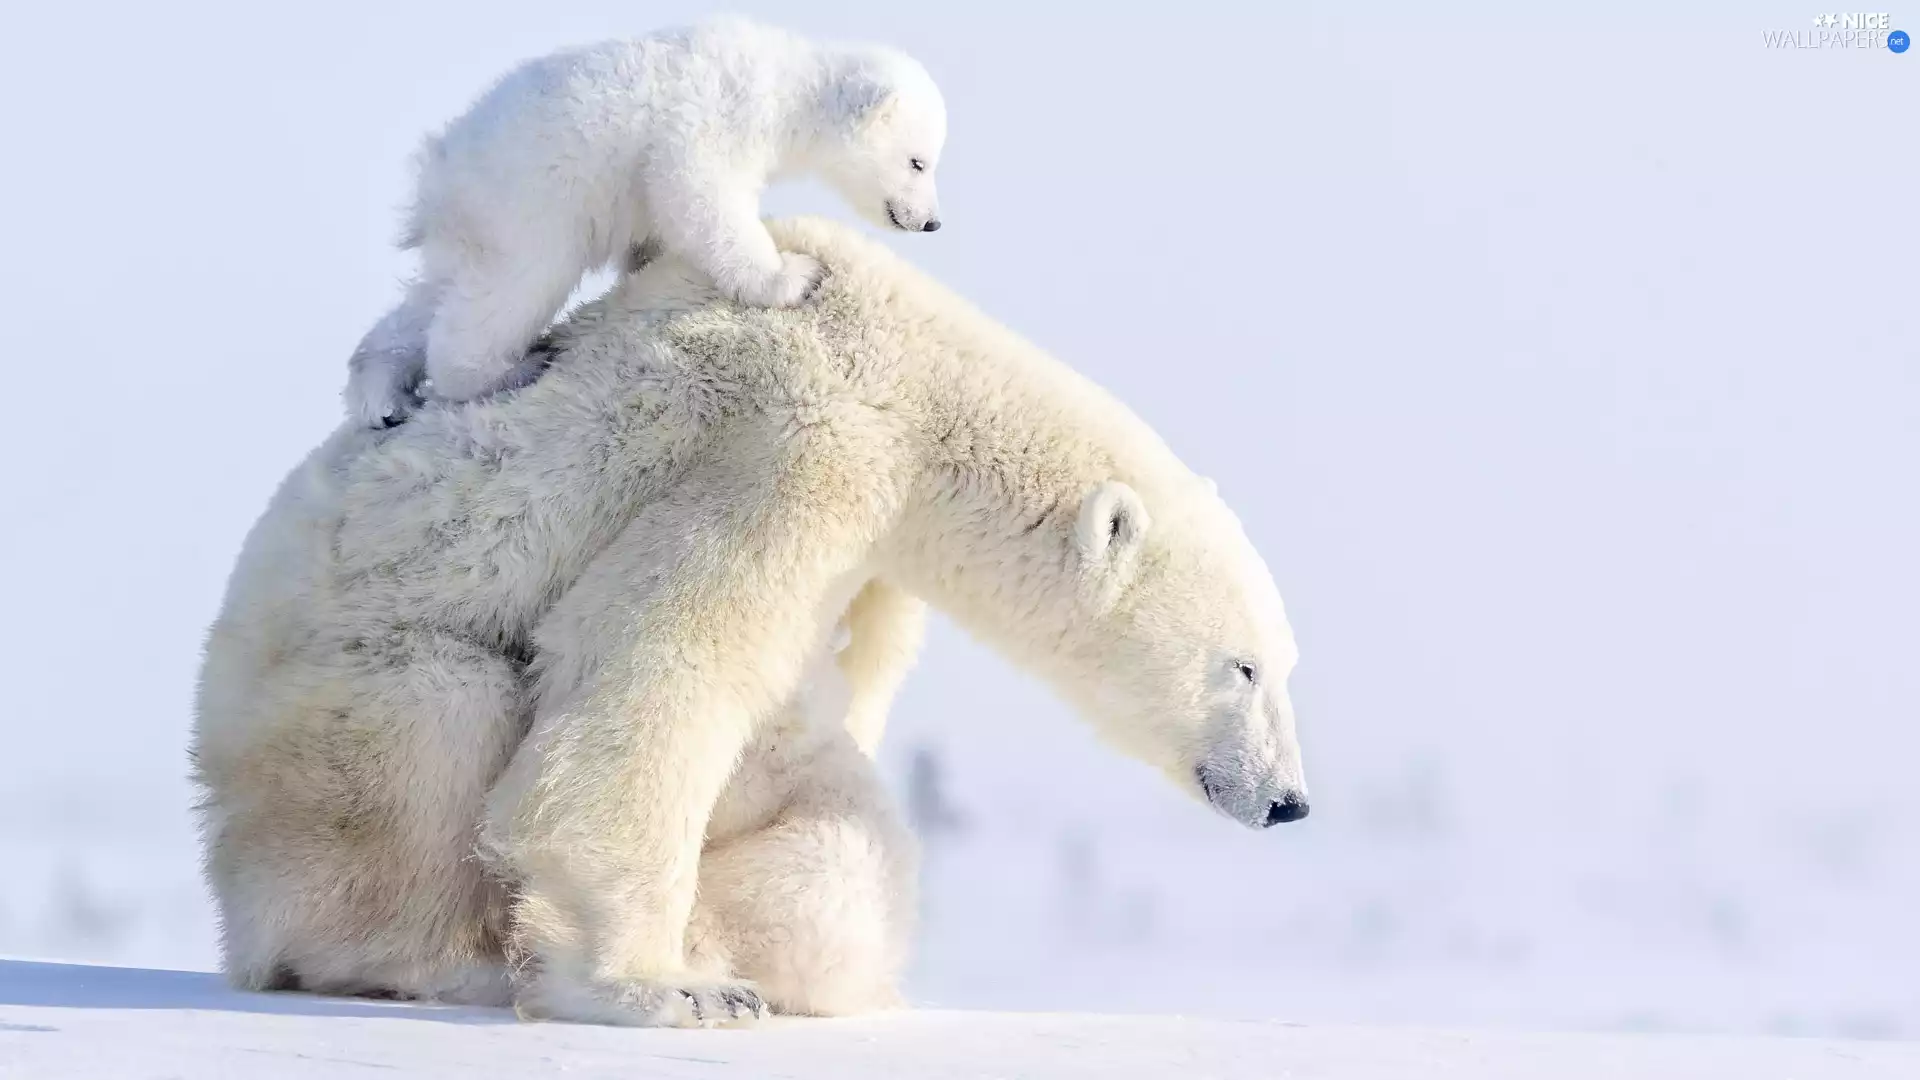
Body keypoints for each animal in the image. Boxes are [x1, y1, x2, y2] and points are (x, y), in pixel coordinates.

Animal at [192, 217, 1308, 1028]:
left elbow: (835, 769)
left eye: (1285, 663)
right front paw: (665, 986)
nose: (1291, 802)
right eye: (1245, 667)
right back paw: (439, 959)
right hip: (329, 700)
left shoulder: (873, 562)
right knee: (434, 725)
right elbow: (658, 662)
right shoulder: (799, 443)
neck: (916, 377)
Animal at [342, 15, 947, 428]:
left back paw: (383, 395)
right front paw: (794, 275)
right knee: (506, 291)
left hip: (476, 226)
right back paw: (505, 370)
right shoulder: (715, 118)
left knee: (431, 295)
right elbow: (702, 195)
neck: (784, 85)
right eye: (919, 161)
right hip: (534, 203)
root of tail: (439, 171)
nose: (932, 224)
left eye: (934, 159)